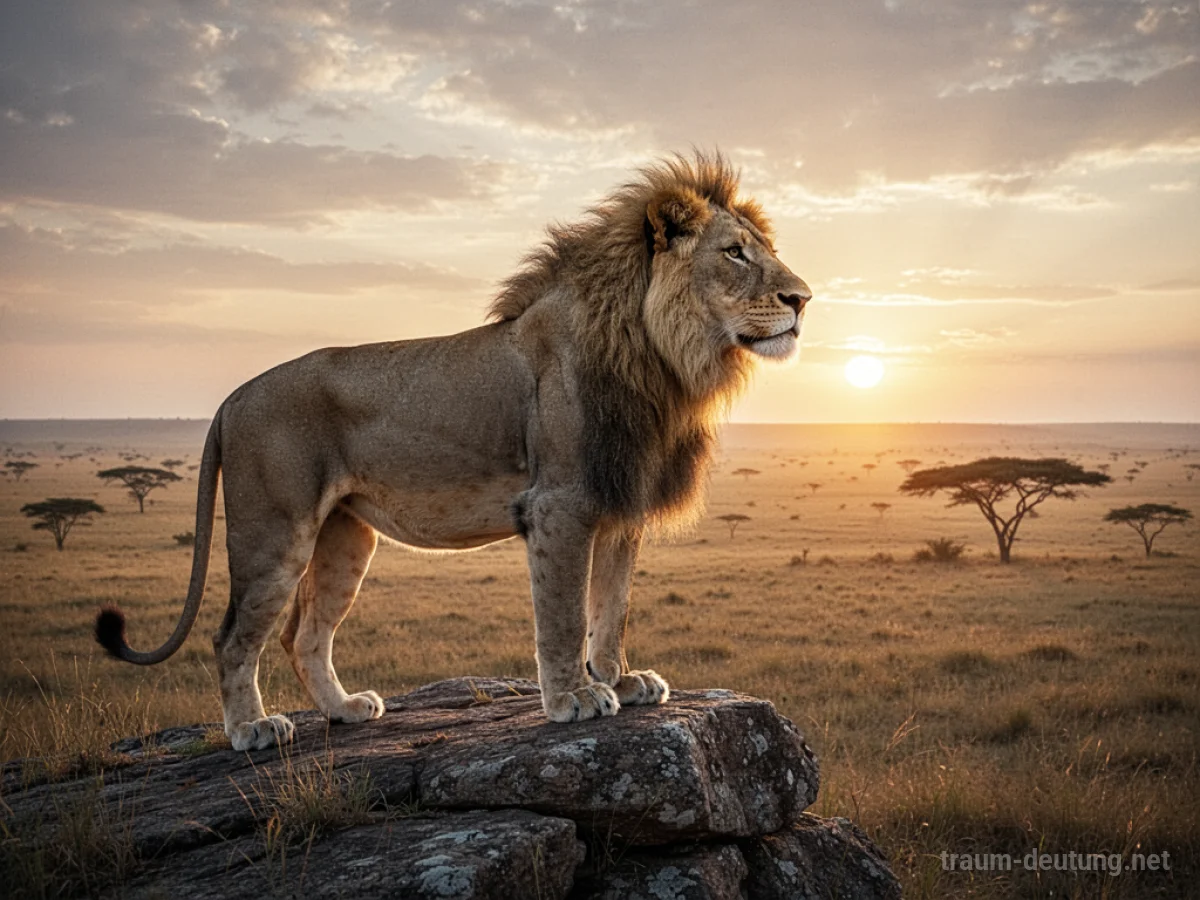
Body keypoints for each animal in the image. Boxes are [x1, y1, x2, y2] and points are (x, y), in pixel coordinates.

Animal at [95, 152, 812, 752]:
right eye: (735, 253)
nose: (803, 299)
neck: (660, 359)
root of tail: (232, 397)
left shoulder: (619, 503)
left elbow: (611, 608)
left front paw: (621, 680)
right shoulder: (561, 504)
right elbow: (563, 615)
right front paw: (574, 698)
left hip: (346, 535)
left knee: (306, 634)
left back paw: (343, 709)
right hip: (274, 529)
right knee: (232, 636)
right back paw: (252, 730)